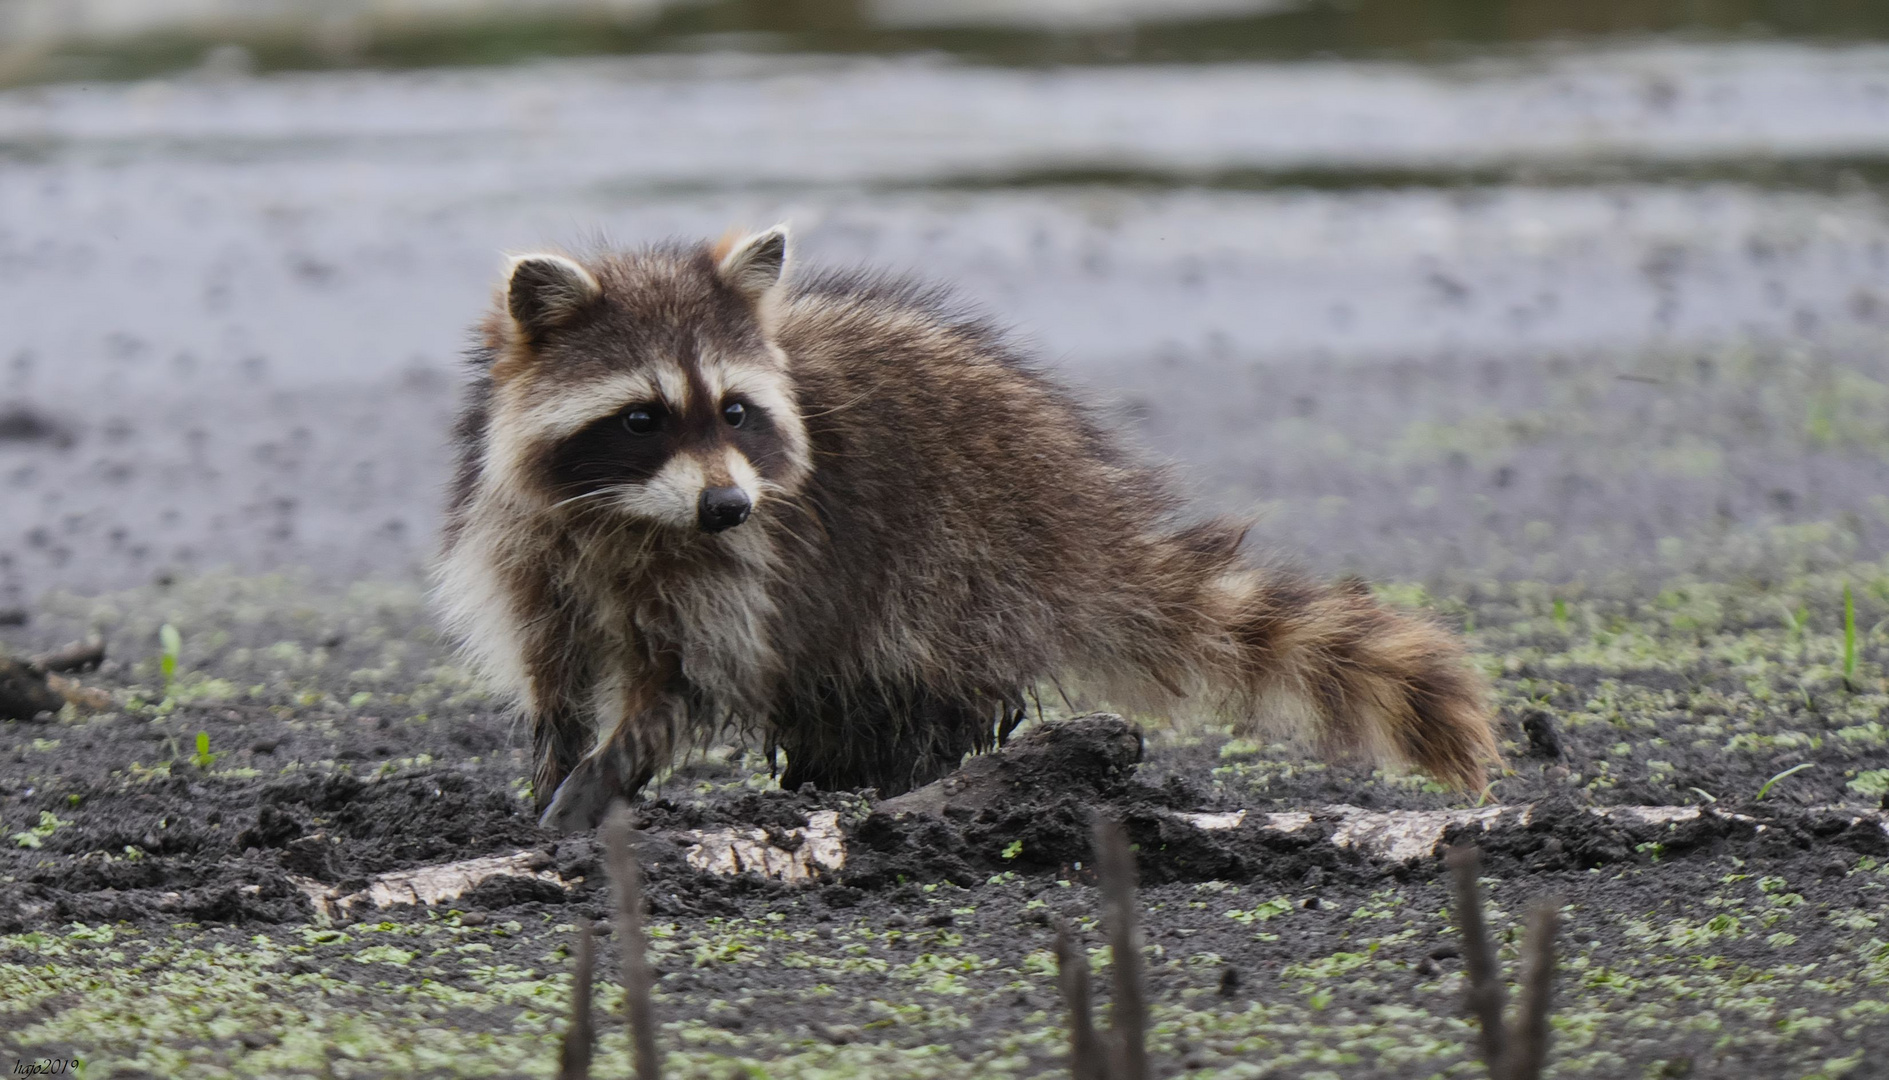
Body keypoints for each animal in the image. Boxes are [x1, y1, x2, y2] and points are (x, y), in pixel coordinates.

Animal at [434, 230, 1496, 834]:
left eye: (734, 411)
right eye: (643, 417)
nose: (726, 506)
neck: (631, 513)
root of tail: (1080, 507)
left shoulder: (746, 560)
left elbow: (687, 674)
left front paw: (607, 770)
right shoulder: (527, 540)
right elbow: (550, 662)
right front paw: (555, 754)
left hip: (961, 553)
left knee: (910, 670)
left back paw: (900, 775)